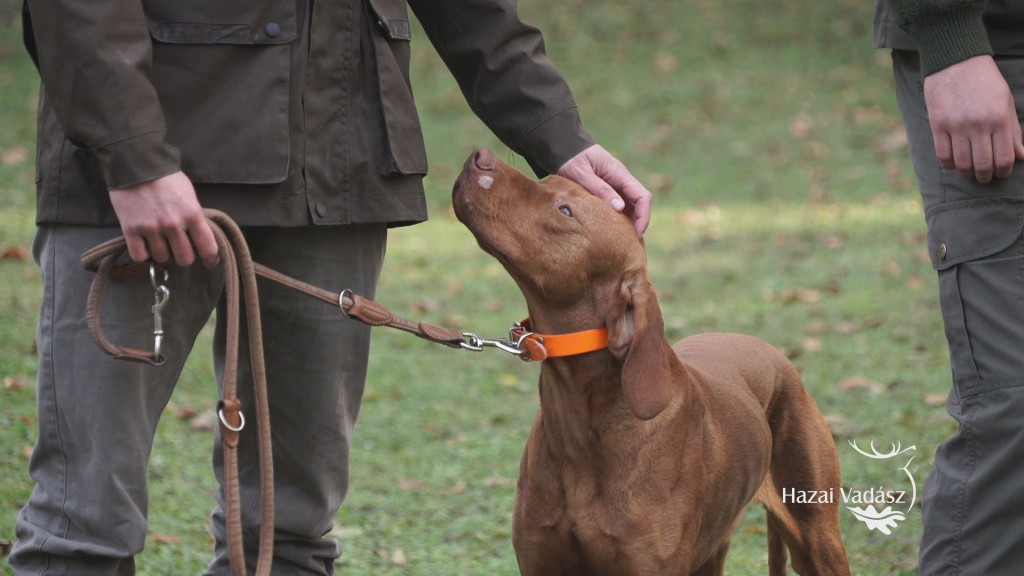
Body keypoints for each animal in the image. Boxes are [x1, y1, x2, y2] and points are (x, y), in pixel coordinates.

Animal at [452, 148, 851, 573]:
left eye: (565, 210)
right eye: (551, 181)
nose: (481, 156)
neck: (582, 427)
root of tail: (775, 353)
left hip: (817, 538)